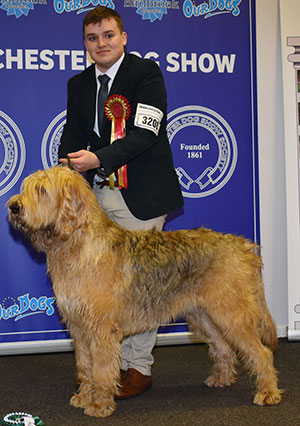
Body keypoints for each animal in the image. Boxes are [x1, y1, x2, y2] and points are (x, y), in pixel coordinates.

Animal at [7, 166, 284, 416]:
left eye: (42, 190)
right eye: (27, 187)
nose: (13, 207)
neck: (76, 245)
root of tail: (243, 245)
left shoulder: (101, 329)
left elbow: (101, 370)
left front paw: (99, 405)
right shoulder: (78, 327)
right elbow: (85, 368)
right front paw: (84, 397)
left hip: (231, 315)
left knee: (261, 353)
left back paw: (268, 392)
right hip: (203, 316)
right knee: (223, 347)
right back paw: (222, 379)